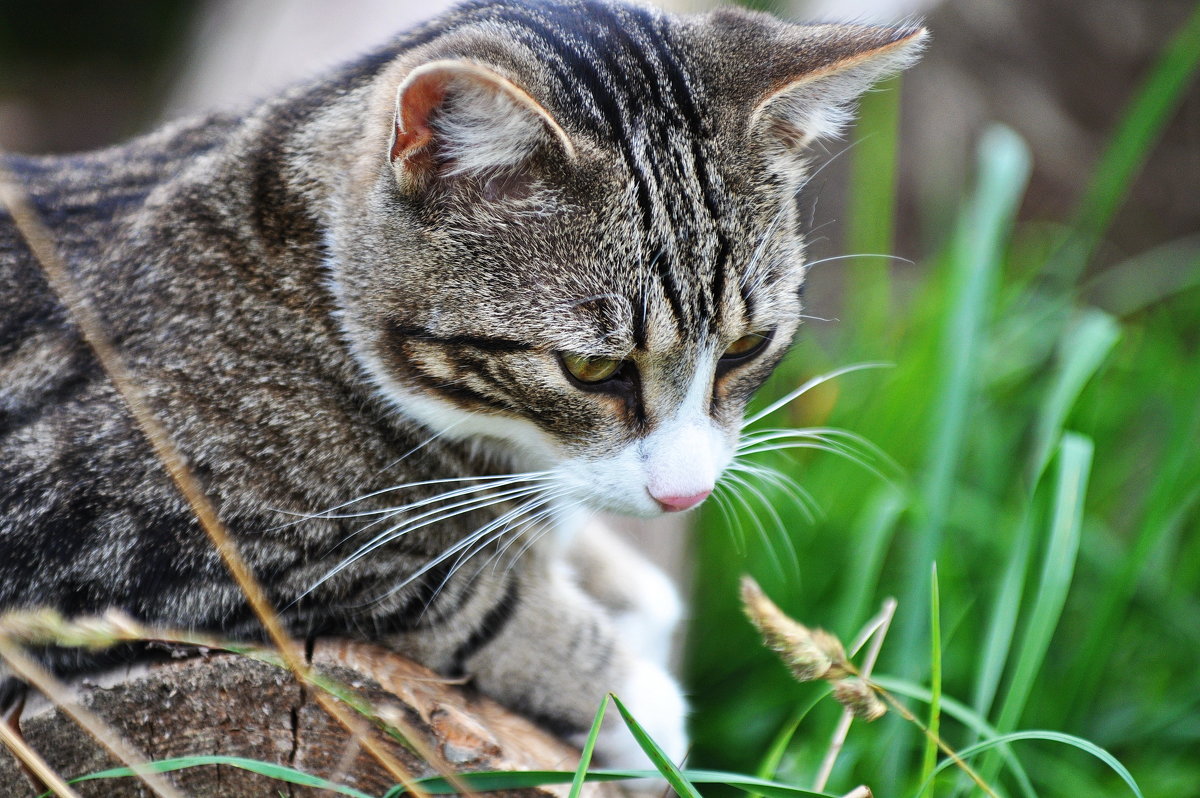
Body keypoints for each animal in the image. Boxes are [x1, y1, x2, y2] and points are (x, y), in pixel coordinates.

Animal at [0, 0, 926, 768]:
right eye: (592, 369)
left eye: (747, 348)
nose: (685, 496)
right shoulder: (122, 532)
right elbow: (449, 588)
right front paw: (632, 703)